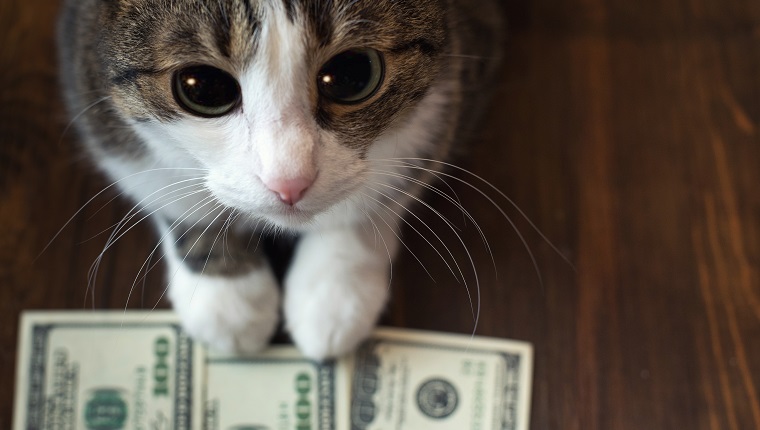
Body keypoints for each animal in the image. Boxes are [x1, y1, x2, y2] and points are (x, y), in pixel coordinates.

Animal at [56, 0, 502, 360]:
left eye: (353, 75)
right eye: (202, 87)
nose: (289, 181)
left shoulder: (451, 94)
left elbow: (378, 193)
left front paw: (334, 293)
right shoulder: (95, 102)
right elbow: (175, 197)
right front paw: (227, 298)